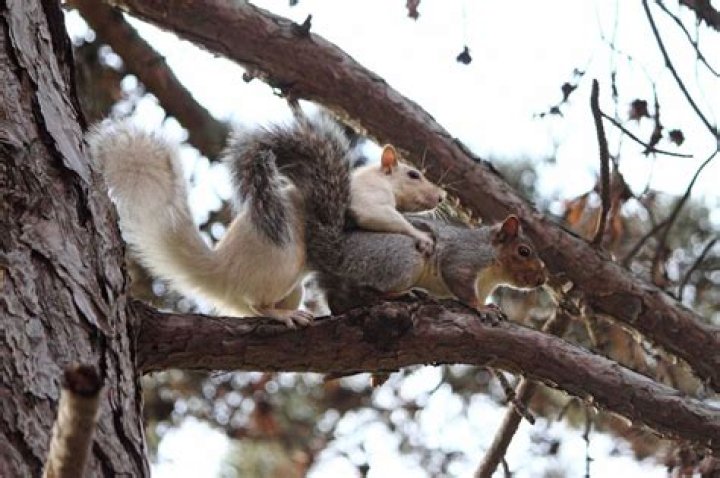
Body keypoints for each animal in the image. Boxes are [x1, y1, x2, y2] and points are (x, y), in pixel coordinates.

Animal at [88, 112, 444, 326]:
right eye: (413, 175)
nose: (440, 197)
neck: (376, 177)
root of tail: (222, 274)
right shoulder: (366, 198)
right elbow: (380, 216)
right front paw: (421, 236)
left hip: (293, 287)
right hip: (283, 264)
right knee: (258, 306)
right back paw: (283, 316)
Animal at [315, 214, 548, 315]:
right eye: (523, 251)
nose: (541, 280)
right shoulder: (463, 258)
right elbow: (459, 281)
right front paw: (481, 307)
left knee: (336, 303)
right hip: (401, 259)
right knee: (368, 290)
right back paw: (404, 294)